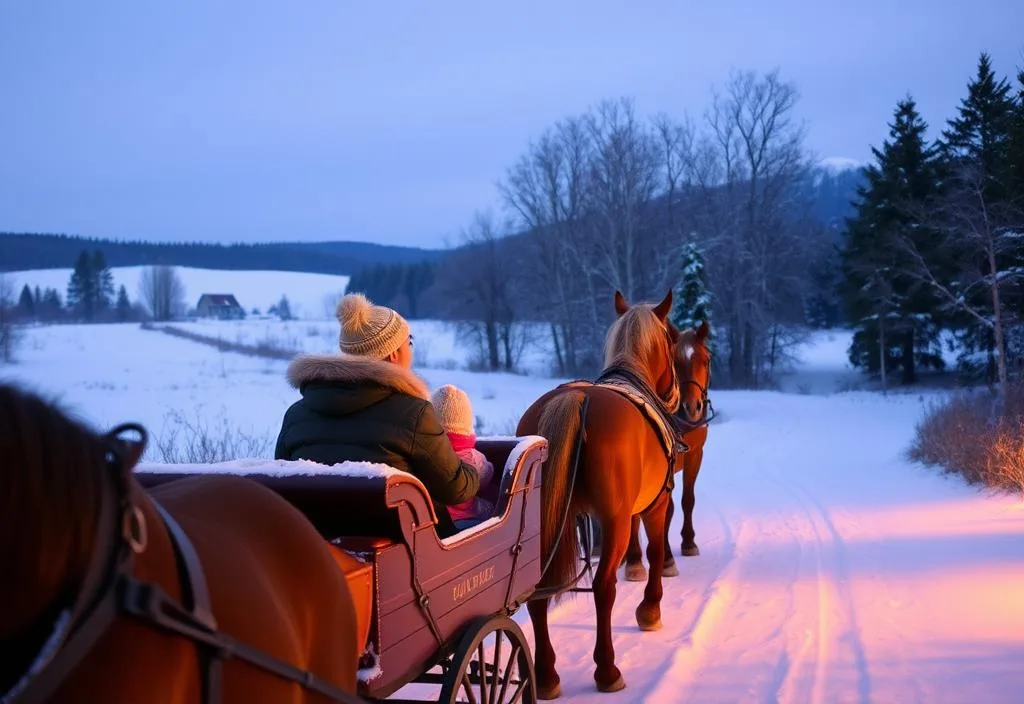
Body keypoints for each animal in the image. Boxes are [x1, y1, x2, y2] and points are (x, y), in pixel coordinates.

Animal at [516, 288, 684, 695]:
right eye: (673, 341)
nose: (675, 395)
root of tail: (577, 399)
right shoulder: (655, 504)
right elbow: (655, 551)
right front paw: (650, 609)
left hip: (545, 524)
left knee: (539, 591)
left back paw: (546, 674)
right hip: (613, 522)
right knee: (604, 587)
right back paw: (607, 669)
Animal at [618, 321, 716, 581]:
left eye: (706, 360)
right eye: (675, 361)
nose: (692, 407)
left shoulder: (694, 456)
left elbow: (687, 501)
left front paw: (687, 543)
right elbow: (660, 511)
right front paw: (657, 560)